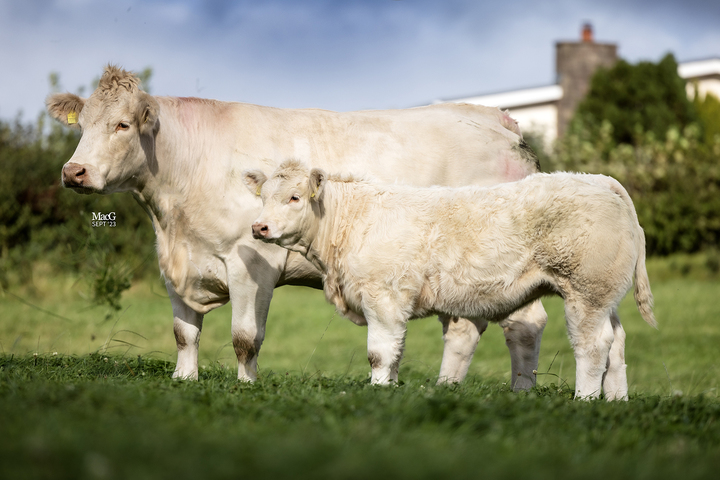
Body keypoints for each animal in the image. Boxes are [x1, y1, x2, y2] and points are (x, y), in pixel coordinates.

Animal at [47, 64, 548, 386]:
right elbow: (184, 332)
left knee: (522, 323)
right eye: (82, 125)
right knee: (465, 328)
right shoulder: (176, 263)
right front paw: (183, 379)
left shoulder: (251, 262)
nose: (74, 172)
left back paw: (519, 392)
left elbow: (245, 338)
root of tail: (495, 117)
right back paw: (446, 389)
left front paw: (246, 386)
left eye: (123, 125)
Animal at [245, 159, 656, 400]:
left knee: (592, 346)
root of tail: (597, 180)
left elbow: (379, 353)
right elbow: (395, 352)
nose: (258, 226)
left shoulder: (384, 297)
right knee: (616, 342)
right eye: (263, 197)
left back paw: (584, 399)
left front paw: (377, 392)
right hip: (604, 296)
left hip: (586, 291)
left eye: (295, 197)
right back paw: (616, 401)